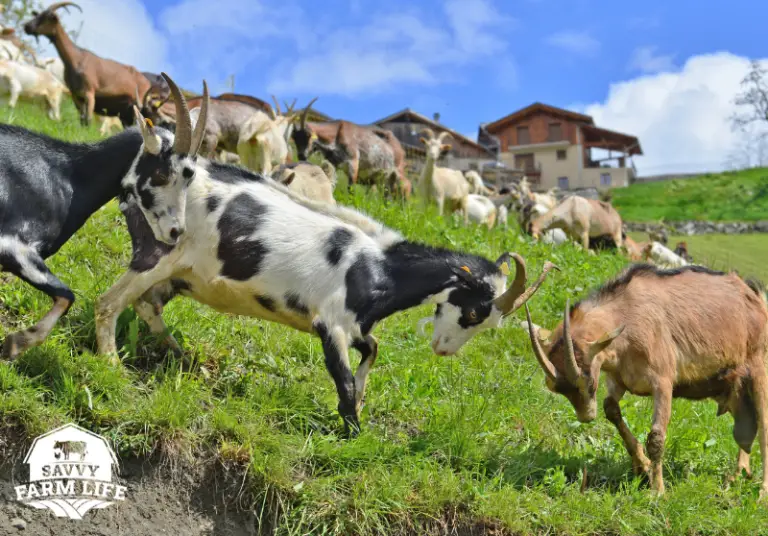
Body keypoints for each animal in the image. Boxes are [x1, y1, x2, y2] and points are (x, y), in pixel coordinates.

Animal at [0, 73, 208, 359]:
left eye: (190, 179)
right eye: (161, 174)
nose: (175, 231)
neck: (67, 175)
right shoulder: (12, 245)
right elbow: (67, 296)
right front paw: (16, 343)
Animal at [24, 2, 152, 127]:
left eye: (47, 17)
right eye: (38, 14)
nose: (27, 26)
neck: (77, 58)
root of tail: (147, 82)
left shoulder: (90, 92)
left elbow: (88, 119)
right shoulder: (76, 94)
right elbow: (82, 118)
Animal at [93, 138, 557, 434]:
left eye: (490, 325)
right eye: (476, 310)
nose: (444, 350)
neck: (378, 266)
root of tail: (137, 180)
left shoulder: (356, 327)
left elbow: (373, 351)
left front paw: (361, 405)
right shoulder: (329, 324)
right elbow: (345, 380)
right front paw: (353, 434)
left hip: (180, 276)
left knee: (147, 306)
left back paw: (178, 356)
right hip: (157, 253)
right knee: (108, 302)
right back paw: (111, 364)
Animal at [525, 264, 768, 497]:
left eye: (588, 380)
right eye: (557, 388)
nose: (586, 416)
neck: (629, 314)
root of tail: (756, 298)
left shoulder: (662, 381)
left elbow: (656, 437)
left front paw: (657, 491)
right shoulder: (619, 378)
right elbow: (611, 408)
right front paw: (642, 467)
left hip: (759, 369)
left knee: (763, 424)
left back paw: (762, 491)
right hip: (734, 387)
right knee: (747, 426)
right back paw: (737, 475)